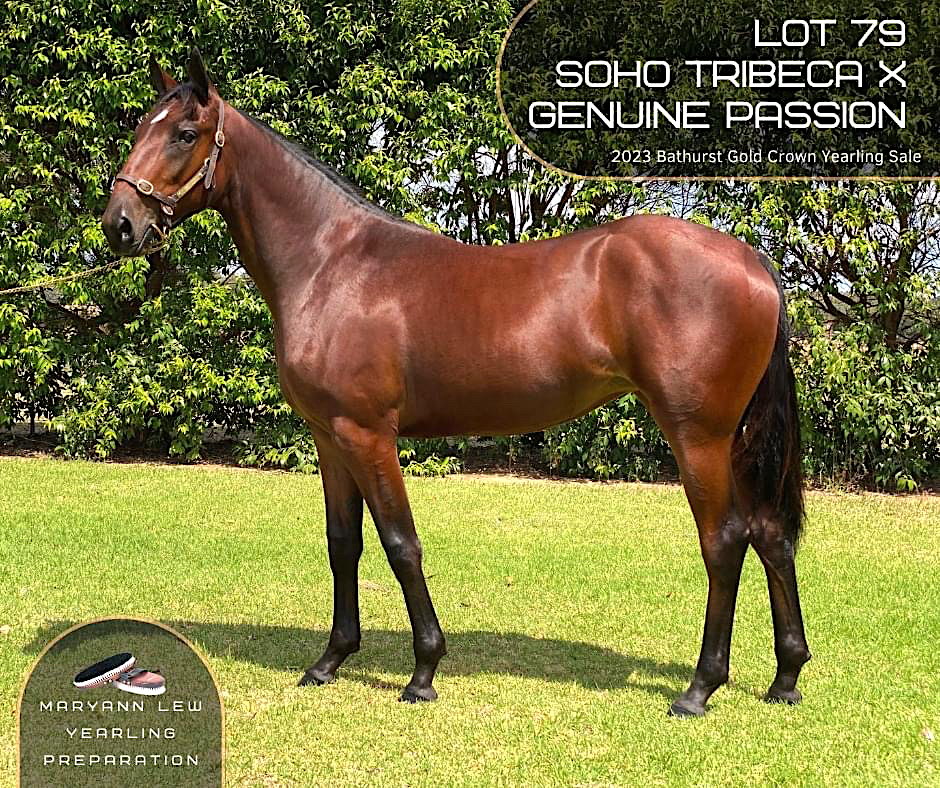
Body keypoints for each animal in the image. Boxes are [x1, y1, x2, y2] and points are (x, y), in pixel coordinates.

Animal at [101, 48, 810, 717]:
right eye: (139, 125)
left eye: (185, 133)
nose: (119, 224)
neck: (332, 263)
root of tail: (753, 262)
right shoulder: (330, 439)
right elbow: (343, 544)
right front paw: (330, 661)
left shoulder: (368, 435)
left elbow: (399, 544)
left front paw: (422, 672)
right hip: (736, 439)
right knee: (771, 536)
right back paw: (785, 677)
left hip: (699, 437)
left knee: (725, 542)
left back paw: (700, 688)